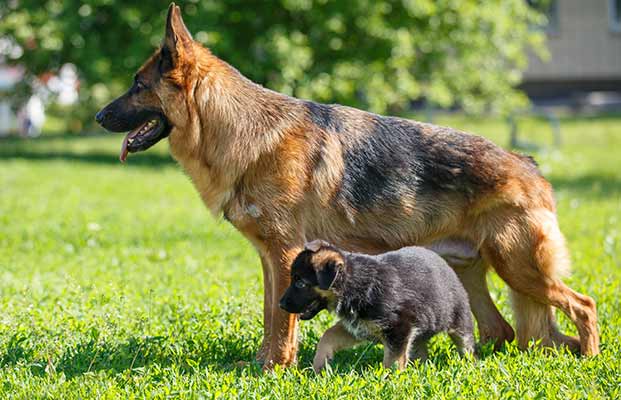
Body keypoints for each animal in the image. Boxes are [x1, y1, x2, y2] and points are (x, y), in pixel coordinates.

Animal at [278, 241, 472, 372]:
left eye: (300, 283)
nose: (280, 304)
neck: (355, 285)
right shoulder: (357, 327)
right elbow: (329, 334)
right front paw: (319, 363)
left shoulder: (399, 328)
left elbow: (393, 360)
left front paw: (391, 380)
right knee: (419, 348)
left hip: (460, 319)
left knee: (466, 344)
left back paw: (471, 364)